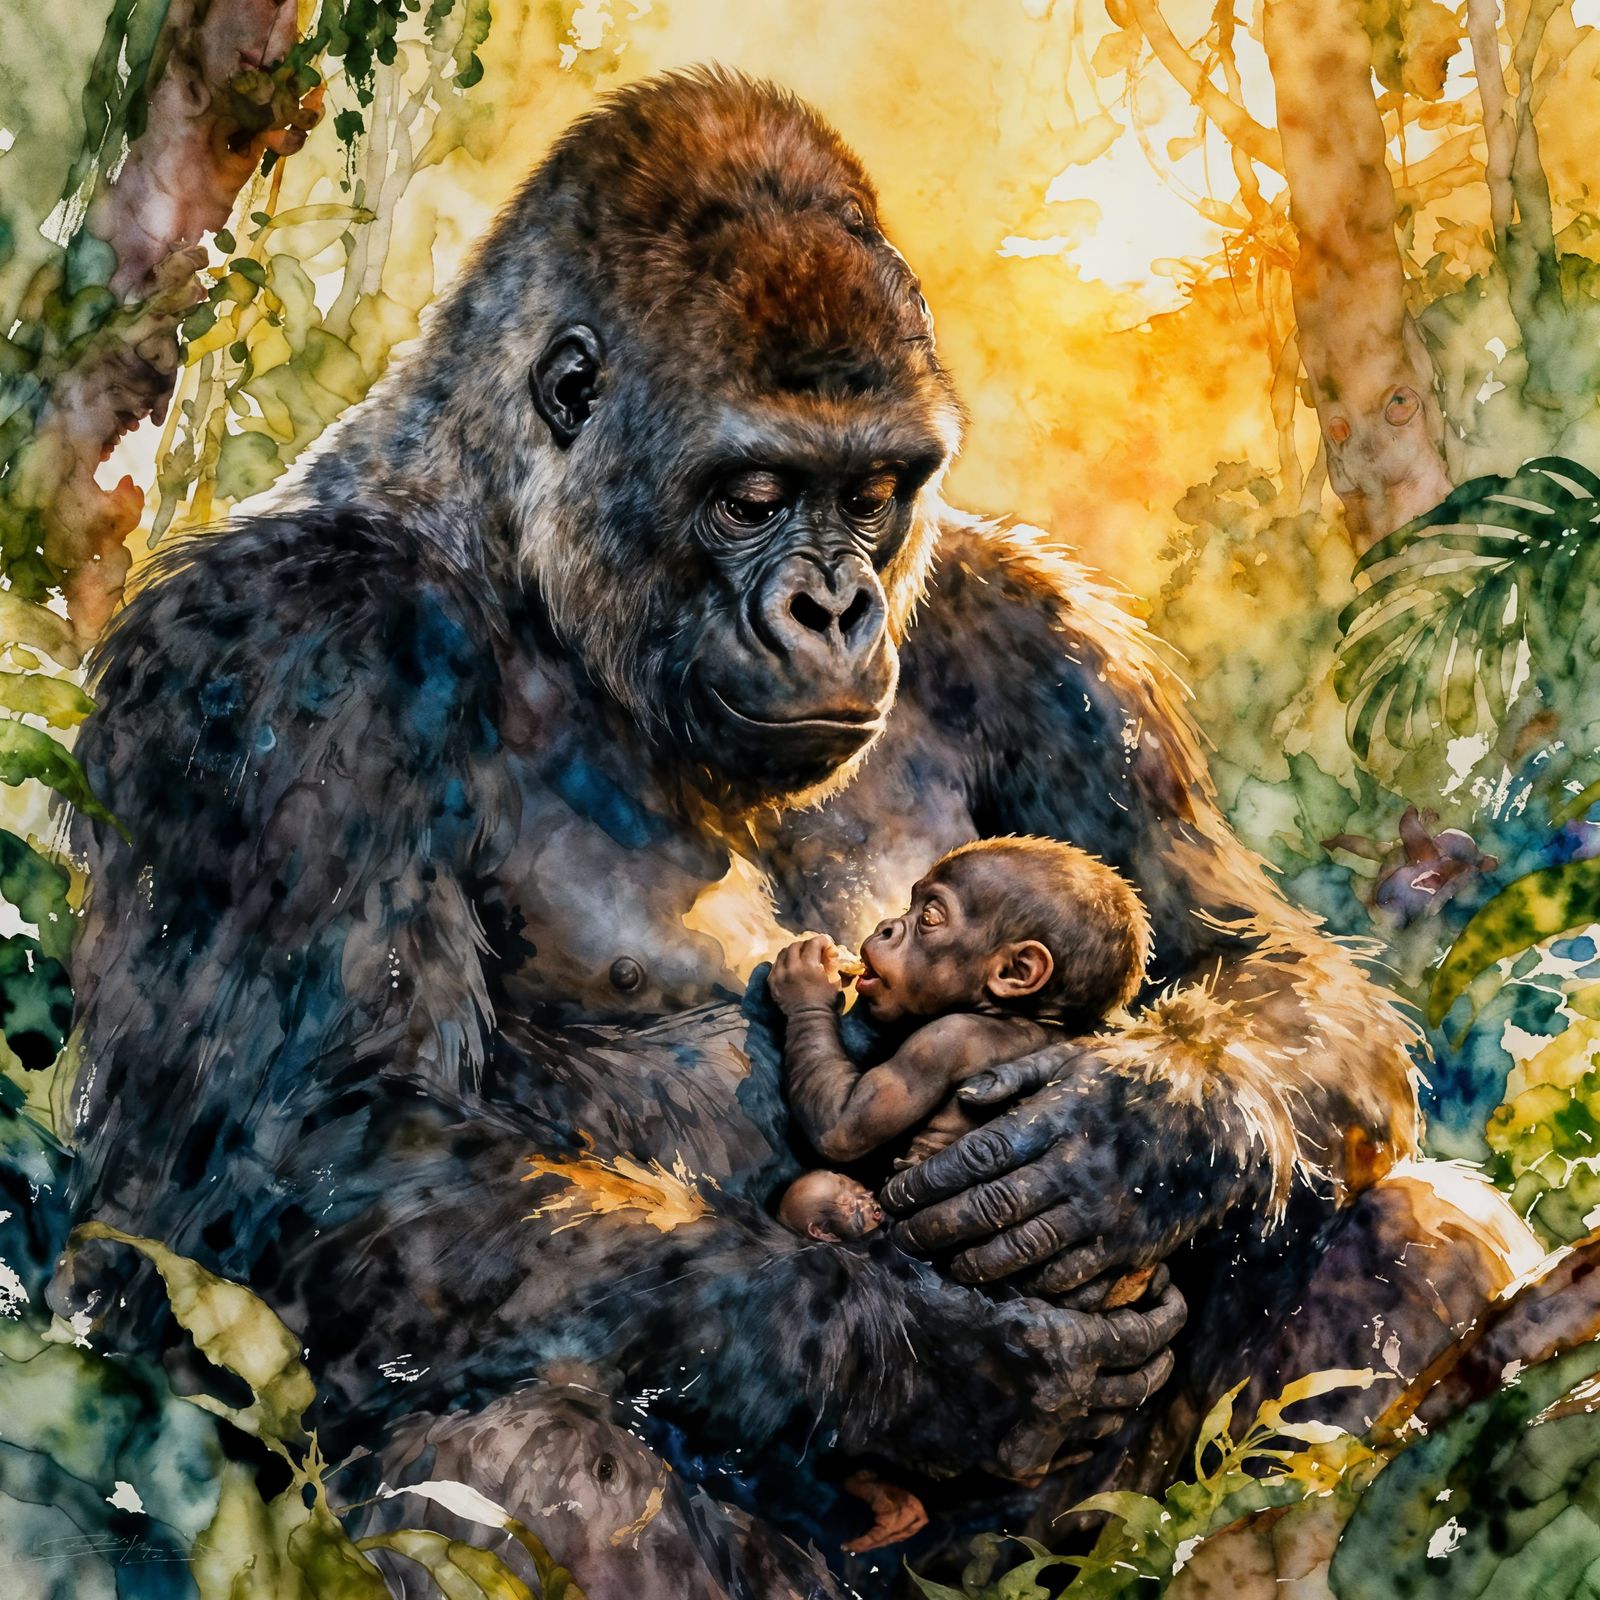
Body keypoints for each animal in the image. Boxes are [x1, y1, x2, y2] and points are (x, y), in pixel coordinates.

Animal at [51, 68, 1532, 1596]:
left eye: (874, 492)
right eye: (754, 495)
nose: (834, 610)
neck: (516, 556)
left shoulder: (1038, 626)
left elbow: (1251, 959)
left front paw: (1136, 1135)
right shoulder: (278, 650)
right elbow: (285, 1166)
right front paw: (937, 1358)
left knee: (1415, 1237)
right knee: (519, 1460)